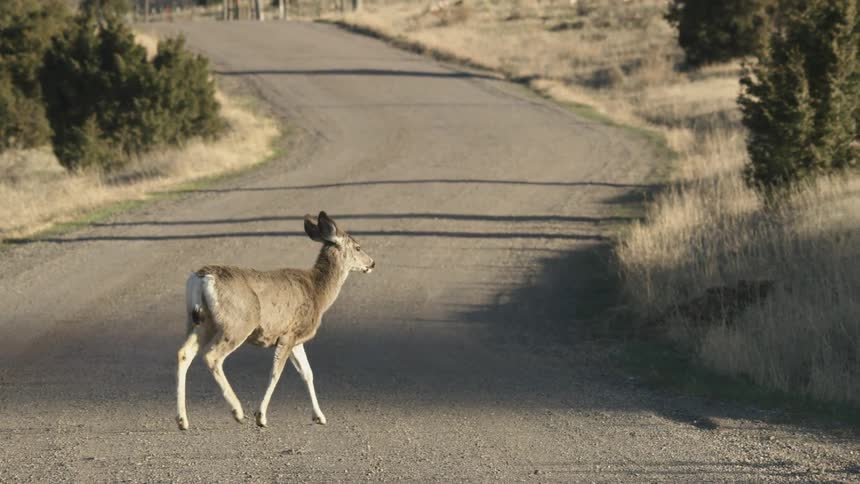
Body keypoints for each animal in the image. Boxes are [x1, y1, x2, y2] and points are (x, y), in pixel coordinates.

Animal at [176, 211, 375, 430]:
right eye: (358, 247)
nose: (372, 263)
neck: (318, 292)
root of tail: (202, 278)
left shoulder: (296, 337)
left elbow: (307, 373)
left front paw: (319, 416)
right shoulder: (288, 334)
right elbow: (276, 373)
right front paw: (261, 416)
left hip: (200, 322)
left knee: (184, 353)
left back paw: (182, 420)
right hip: (238, 323)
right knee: (212, 356)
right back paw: (237, 412)